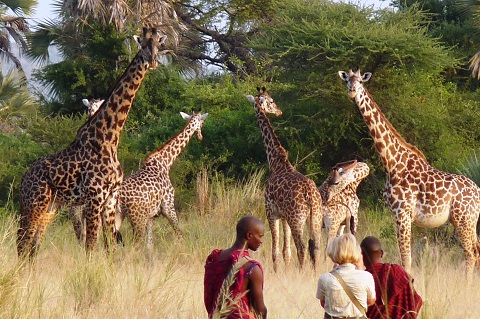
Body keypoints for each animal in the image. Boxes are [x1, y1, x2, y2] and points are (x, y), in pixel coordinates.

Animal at [16, 26, 170, 258]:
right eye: (142, 44)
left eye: (158, 45)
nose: (152, 62)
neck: (109, 138)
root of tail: (23, 179)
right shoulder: (94, 197)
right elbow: (90, 246)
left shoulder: (110, 199)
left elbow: (110, 248)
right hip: (35, 204)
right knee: (22, 244)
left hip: (50, 207)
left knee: (32, 247)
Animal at [116, 112, 208, 250]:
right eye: (202, 123)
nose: (201, 137)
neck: (165, 162)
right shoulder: (168, 206)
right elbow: (179, 234)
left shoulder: (152, 216)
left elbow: (150, 244)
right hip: (137, 218)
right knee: (134, 245)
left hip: (115, 216)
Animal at [248, 87, 322, 272]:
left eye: (271, 100)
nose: (279, 111)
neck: (276, 162)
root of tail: (310, 195)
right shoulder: (284, 217)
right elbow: (286, 252)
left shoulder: (271, 212)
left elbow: (275, 251)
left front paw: (277, 272)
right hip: (315, 218)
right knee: (316, 247)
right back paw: (314, 272)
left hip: (297, 219)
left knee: (302, 248)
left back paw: (302, 273)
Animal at [338, 69, 480, 274]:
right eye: (347, 80)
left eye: (360, 82)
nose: (352, 91)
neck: (392, 163)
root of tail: (478, 192)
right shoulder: (397, 214)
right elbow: (406, 256)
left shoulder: (402, 213)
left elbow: (406, 258)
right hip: (468, 221)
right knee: (476, 251)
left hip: (463, 219)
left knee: (470, 254)